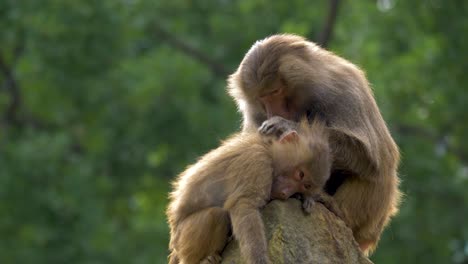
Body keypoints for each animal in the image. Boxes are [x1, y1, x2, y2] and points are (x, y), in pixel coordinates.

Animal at [166, 118, 330, 264]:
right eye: (300, 174)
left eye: (305, 186)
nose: (285, 193)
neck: (268, 150)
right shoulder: (258, 163)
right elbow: (244, 206)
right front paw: (259, 260)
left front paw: (305, 198)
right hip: (184, 240)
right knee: (215, 215)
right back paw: (202, 259)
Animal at [228, 34, 402, 255]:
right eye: (262, 97)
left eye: (275, 91)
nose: (272, 111)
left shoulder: (345, 93)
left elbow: (372, 156)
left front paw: (285, 126)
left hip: (368, 222)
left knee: (380, 166)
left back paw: (335, 208)